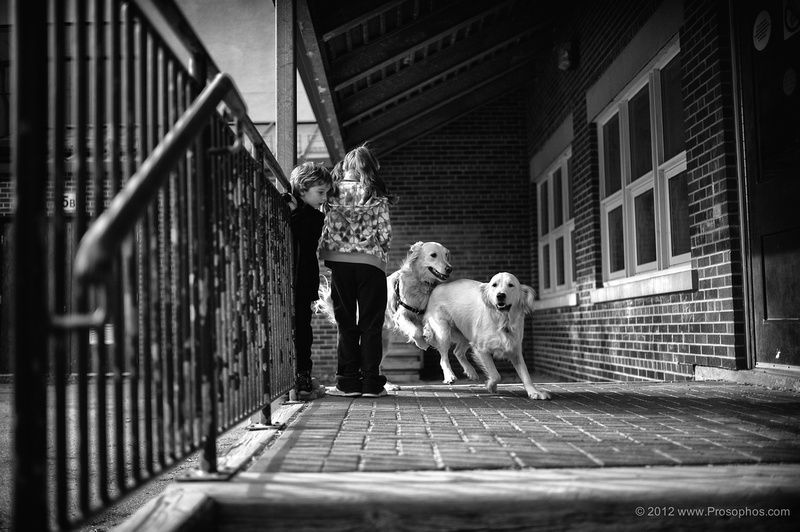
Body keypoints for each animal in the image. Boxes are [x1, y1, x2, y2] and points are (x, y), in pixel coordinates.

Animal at [422, 272, 551, 400]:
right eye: (494, 285)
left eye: (511, 285)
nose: (500, 295)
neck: (502, 320)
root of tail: (438, 286)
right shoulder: (481, 349)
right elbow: (496, 375)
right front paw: (491, 386)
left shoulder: (514, 349)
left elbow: (525, 373)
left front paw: (534, 391)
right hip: (443, 330)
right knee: (443, 358)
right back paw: (450, 375)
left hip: (467, 332)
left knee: (457, 352)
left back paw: (471, 371)